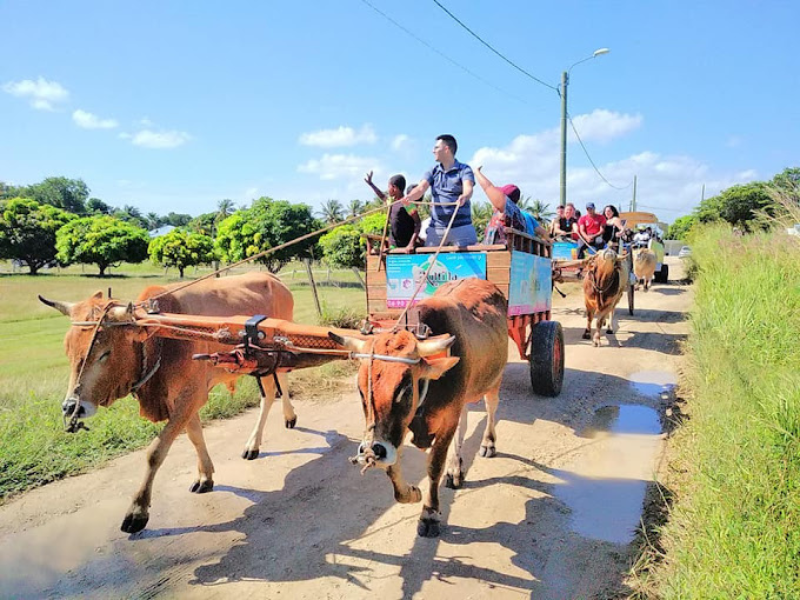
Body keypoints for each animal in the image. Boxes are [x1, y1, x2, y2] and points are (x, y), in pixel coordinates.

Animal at [39, 274, 296, 532]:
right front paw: (205, 476)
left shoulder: (192, 395)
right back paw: (289, 416)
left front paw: (138, 509)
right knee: (282, 380)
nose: (72, 407)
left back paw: (253, 443)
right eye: (67, 350)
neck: (160, 339)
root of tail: (273, 278)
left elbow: (156, 451)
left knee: (269, 394)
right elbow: (195, 435)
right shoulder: (182, 399)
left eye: (105, 353)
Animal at [330, 278, 506, 536]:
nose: (371, 451)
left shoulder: (446, 419)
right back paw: (456, 469)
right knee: (463, 427)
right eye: (361, 390)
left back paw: (488, 444)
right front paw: (412, 493)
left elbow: (434, 466)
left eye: (404, 389)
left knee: (492, 408)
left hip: (494, 380)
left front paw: (430, 514)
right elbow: (393, 468)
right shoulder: (397, 430)